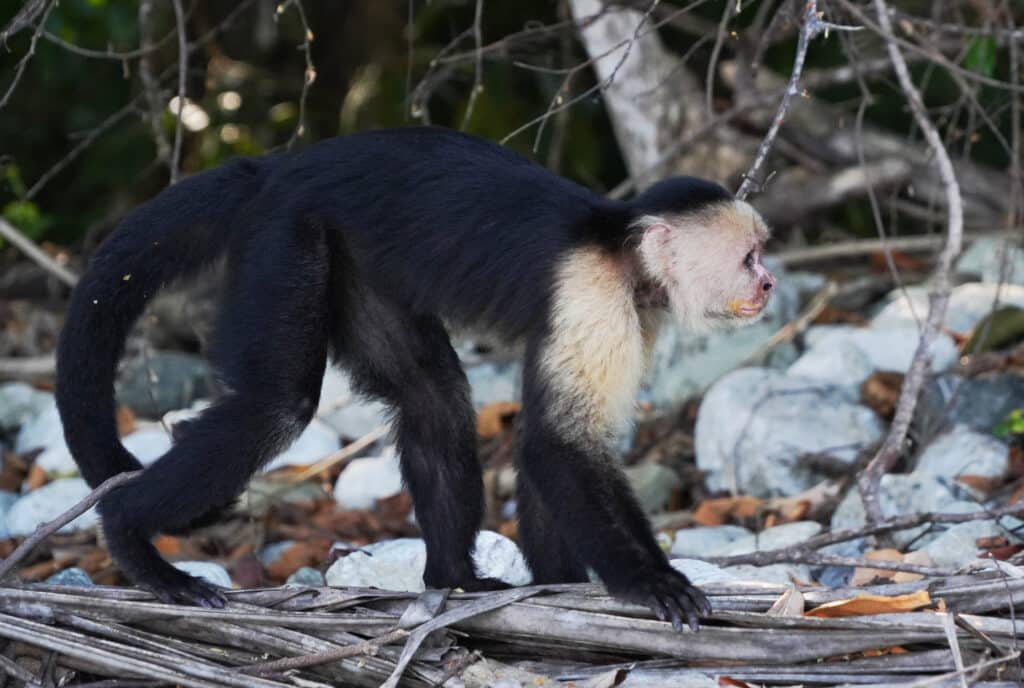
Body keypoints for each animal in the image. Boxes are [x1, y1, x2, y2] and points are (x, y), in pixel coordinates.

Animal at [55, 126, 774, 631]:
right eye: (749, 257)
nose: (769, 283)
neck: (622, 254)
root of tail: (277, 166)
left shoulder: (630, 314)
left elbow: (547, 440)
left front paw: (561, 587)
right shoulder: (594, 297)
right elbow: (558, 444)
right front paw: (649, 579)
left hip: (350, 255)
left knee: (435, 398)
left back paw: (454, 579)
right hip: (285, 237)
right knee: (279, 406)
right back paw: (132, 538)